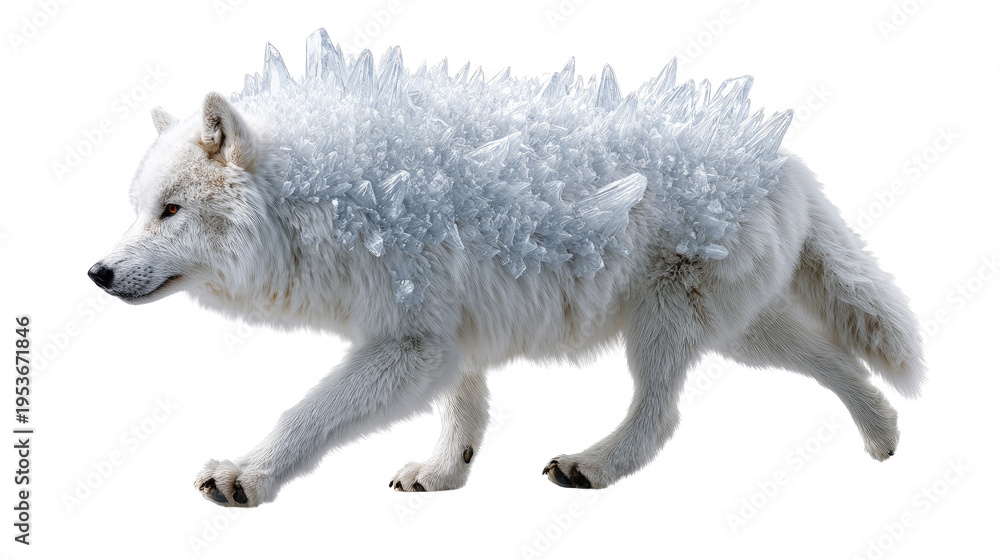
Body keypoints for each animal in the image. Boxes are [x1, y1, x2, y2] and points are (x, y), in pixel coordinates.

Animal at [88, 34, 924, 507]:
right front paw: (443, 475)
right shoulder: (449, 337)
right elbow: (465, 412)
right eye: (138, 209)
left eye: (169, 211)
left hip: (666, 328)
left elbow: (309, 413)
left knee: (662, 417)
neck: (327, 195)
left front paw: (249, 475)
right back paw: (884, 436)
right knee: (837, 359)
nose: (96, 273)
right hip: (740, 332)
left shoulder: (411, 345)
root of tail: (786, 162)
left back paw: (595, 466)